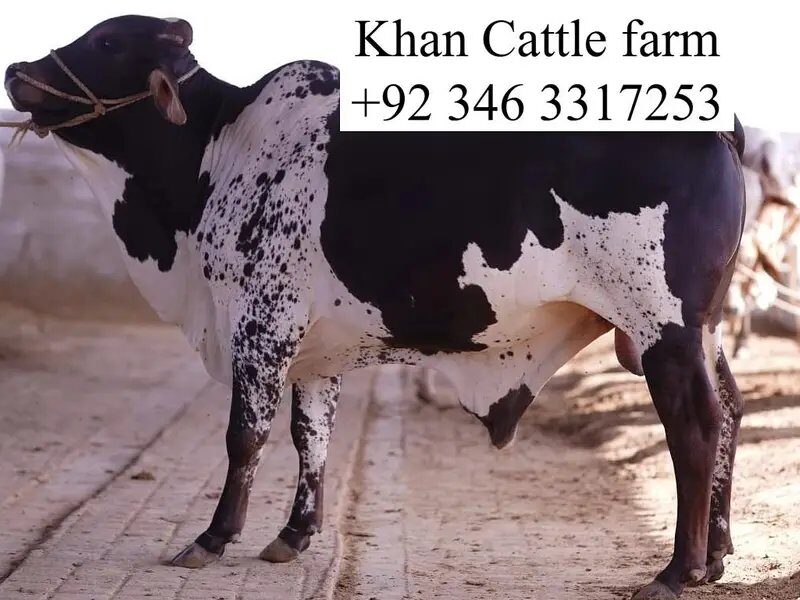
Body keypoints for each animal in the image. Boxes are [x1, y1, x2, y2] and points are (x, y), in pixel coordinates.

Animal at [4, 15, 746, 599]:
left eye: (104, 40)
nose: (16, 71)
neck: (215, 153)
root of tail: (721, 128)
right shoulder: (315, 353)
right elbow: (310, 438)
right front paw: (294, 534)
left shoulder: (261, 324)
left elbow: (245, 436)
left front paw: (213, 539)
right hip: (701, 332)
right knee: (731, 412)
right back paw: (715, 557)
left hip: (664, 329)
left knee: (695, 427)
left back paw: (676, 572)